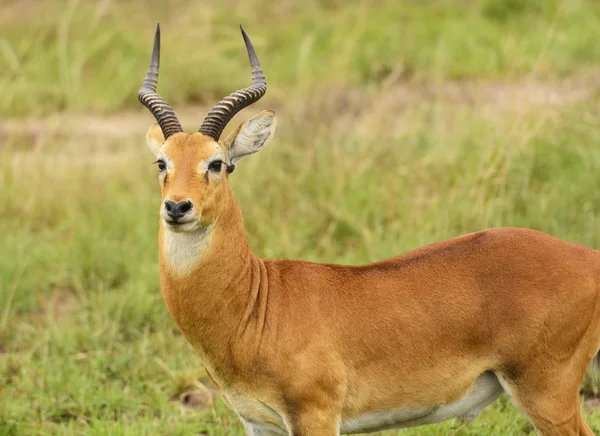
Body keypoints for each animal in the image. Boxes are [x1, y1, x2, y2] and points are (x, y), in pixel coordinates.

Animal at [138, 24, 600, 436]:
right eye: (162, 162)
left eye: (217, 163)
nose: (177, 207)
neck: (257, 301)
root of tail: (587, 256)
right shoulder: (259, 424)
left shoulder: (317, 416)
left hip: (546, 394)